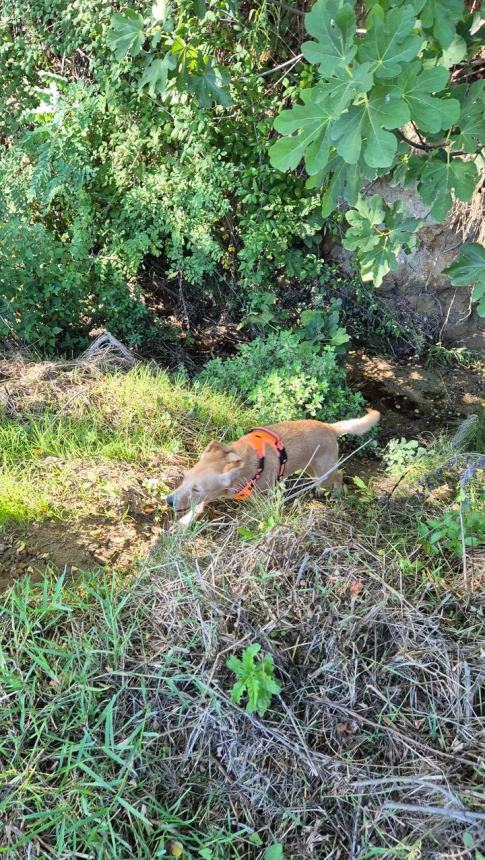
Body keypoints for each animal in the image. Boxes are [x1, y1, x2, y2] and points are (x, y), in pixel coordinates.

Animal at [166, 408, 378, 524]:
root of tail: (331, 427)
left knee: (339, 473)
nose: (168, 501)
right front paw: (186, 521)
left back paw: (336, 493)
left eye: (196, 489)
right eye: (184, 478)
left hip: (323, 473)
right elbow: (199, 505)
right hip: (309, 468)